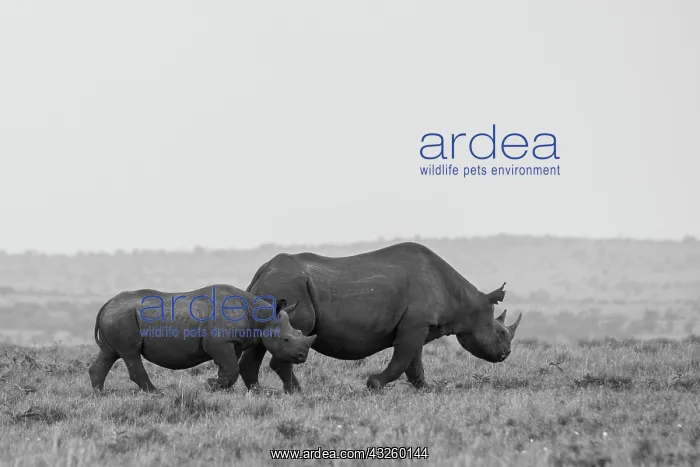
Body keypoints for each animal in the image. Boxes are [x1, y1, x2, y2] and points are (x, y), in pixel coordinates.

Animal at [88, 284, 316, 392]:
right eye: (286, 340)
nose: (302, 356)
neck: (260, 315)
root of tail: (107, 304)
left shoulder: (232, 343)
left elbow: (229, 368)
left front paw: (219, 387)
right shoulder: (217, 342)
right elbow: (231, 369)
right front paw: (209, 385)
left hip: (118, 316)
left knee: (110, 352)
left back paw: (100, 394)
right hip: (122, 317)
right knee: (130, 353)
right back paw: (156, 393)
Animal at [238, 242, 522, 392]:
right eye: (501, 333)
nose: (506, 354)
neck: (465, 301)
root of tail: (263, 271)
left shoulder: (419, 325)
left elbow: (414, 361)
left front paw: (426, 388)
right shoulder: (415, 324)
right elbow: (402, 359)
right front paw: (374, 383)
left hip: (274, 292)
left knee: (263, 340)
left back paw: (260, 392)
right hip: (289, 287)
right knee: (292, 336)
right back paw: (296, 392)